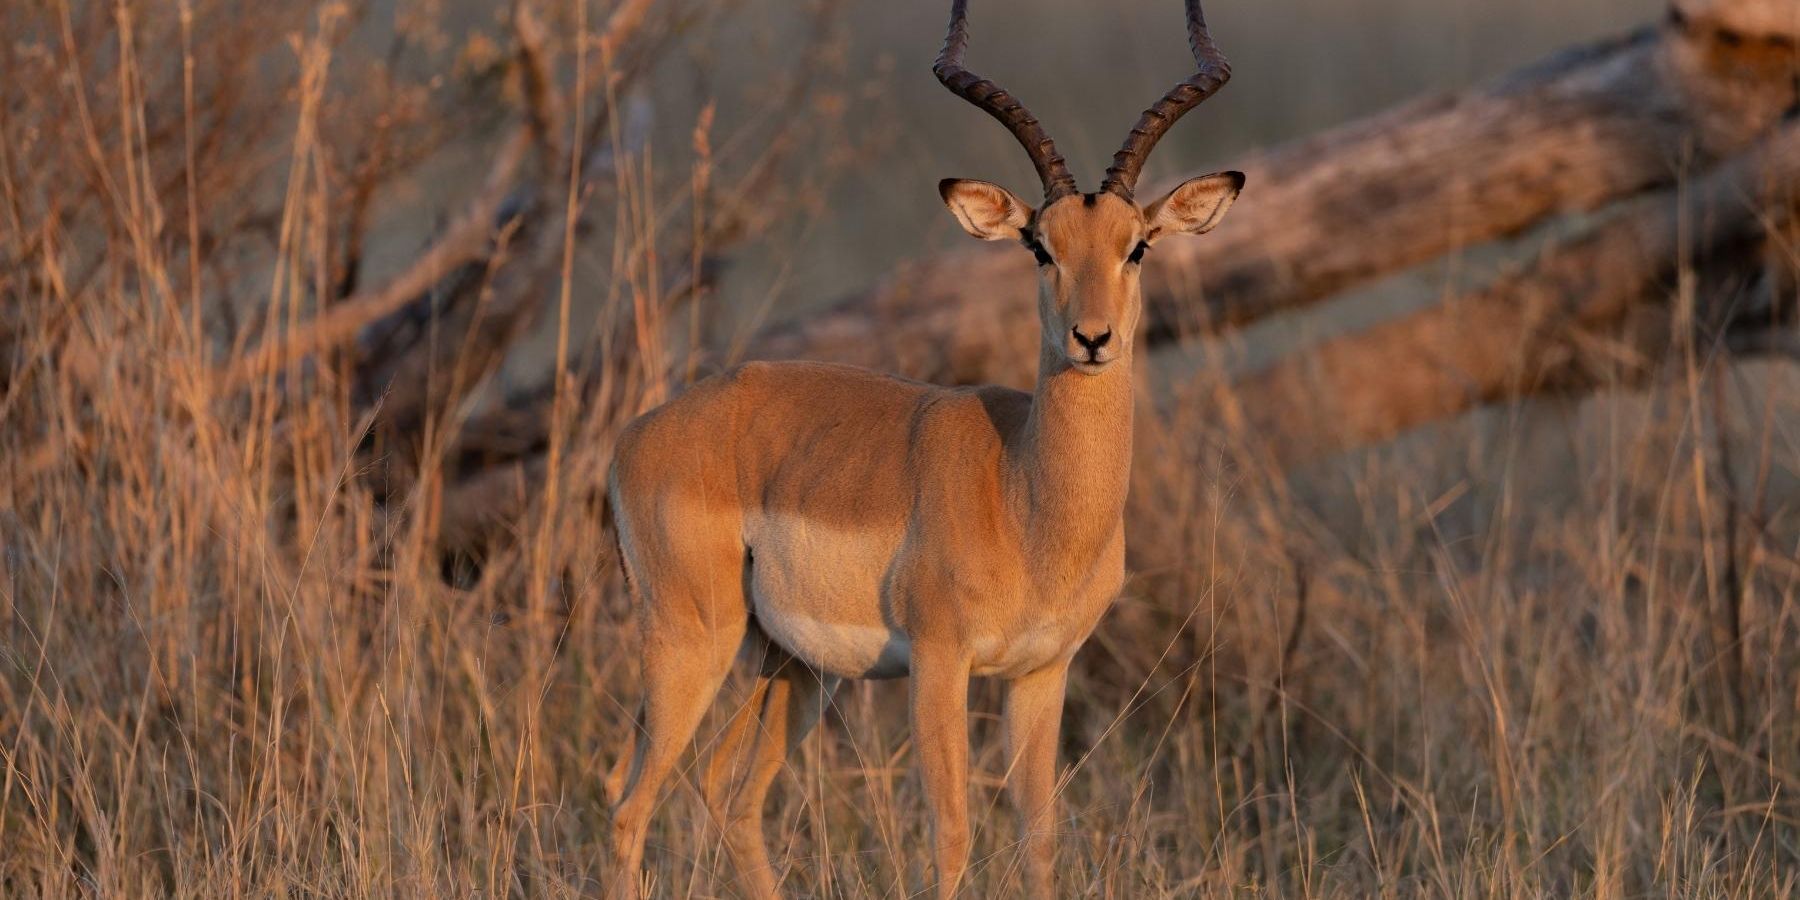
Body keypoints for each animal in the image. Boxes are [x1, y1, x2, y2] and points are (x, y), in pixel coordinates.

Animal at [601, 1, 1241, 895]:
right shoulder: (941, 664)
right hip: (695, 639)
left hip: (793, 667)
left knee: (727, 790)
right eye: (1039, 246)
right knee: (629, 806)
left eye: (1137, 245)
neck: (1027, 498)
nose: (1093, 338)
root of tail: (641, 433)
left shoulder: (1042, 674)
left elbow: (1040, 835)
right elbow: (953, 830)